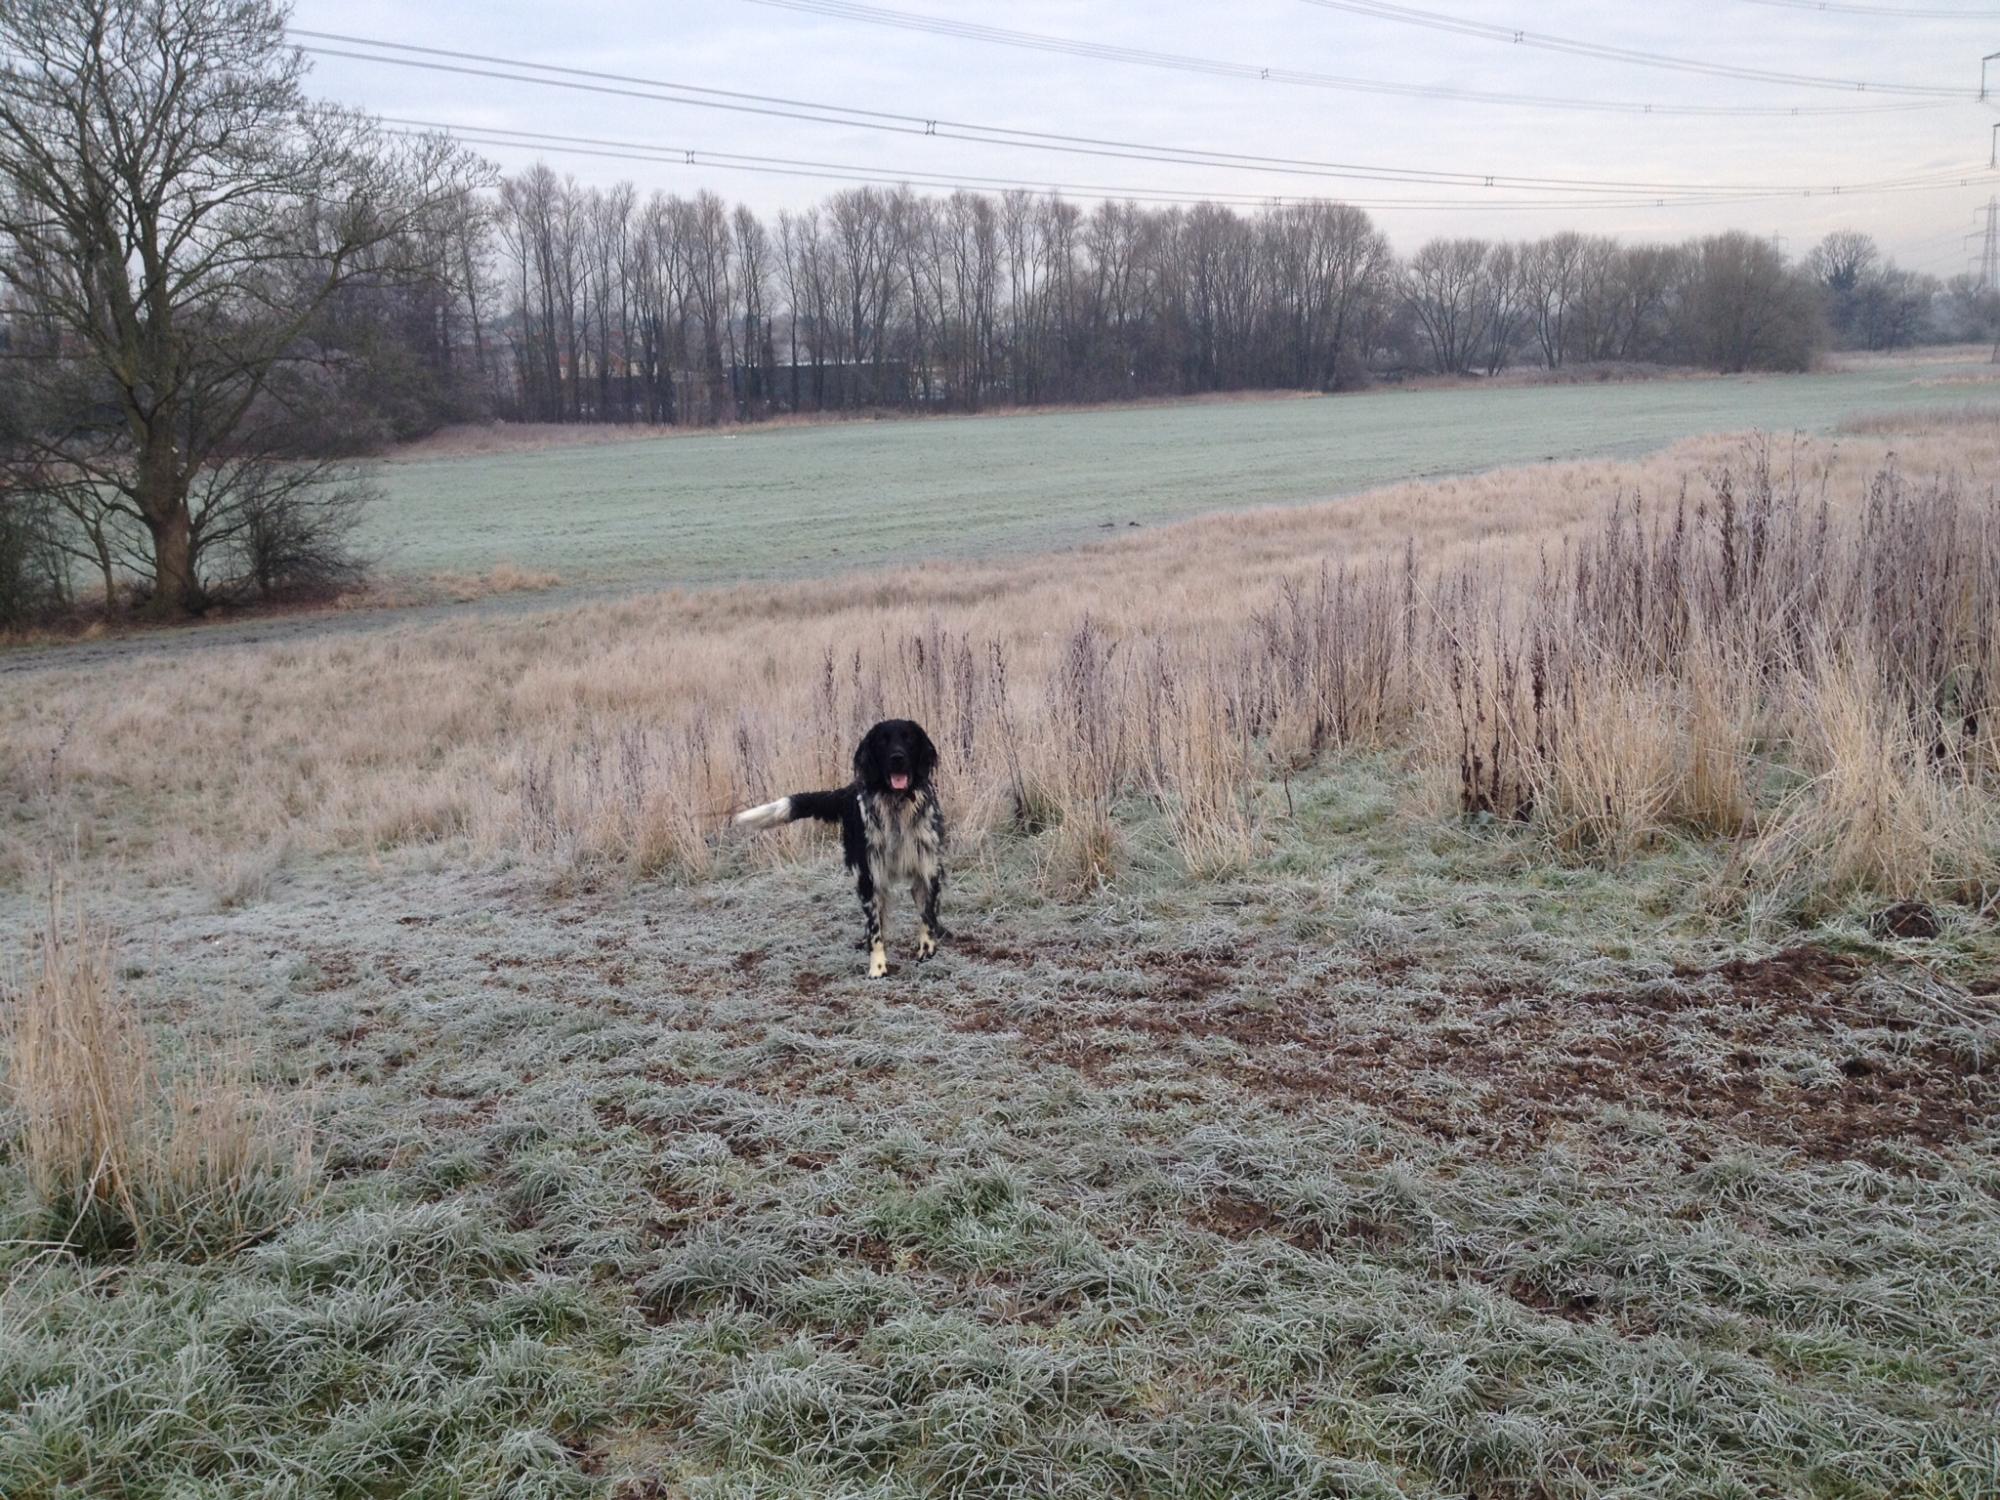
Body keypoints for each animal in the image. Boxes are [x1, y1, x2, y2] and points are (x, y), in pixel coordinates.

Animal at [740, 724, 948, 980]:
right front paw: (877, 966)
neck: (896, 805)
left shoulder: (928, 868)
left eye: (909, 739)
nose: (897, 758)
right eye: (882, 741)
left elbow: (928, 915)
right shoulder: (869, 875)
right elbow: (875, 928)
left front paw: (927, 949)